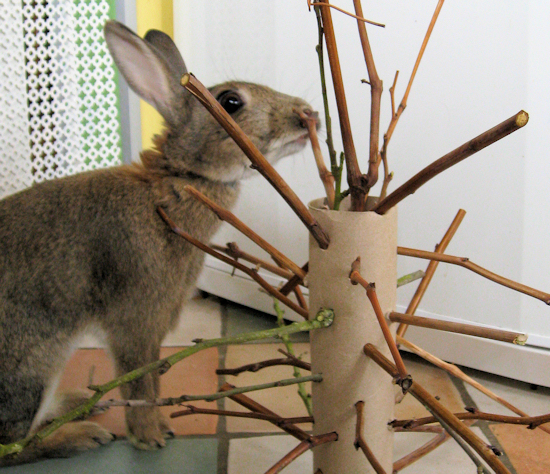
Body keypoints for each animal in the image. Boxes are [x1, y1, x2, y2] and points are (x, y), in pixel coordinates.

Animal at [0, 20, 320, 464]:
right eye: (231, 102)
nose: (308, 115)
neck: (178, 179)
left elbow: (149, 381)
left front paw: (157, 428)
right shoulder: (137, 323)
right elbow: (141, 384)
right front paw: (150, 435)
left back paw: (78, 403)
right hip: (30, 368)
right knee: (12, 446)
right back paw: (81, 435)